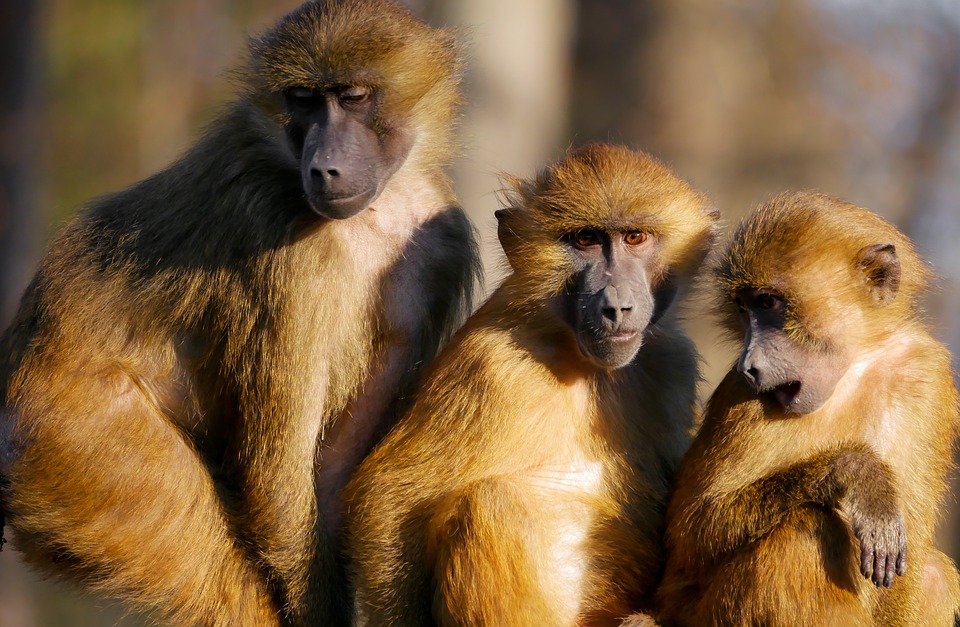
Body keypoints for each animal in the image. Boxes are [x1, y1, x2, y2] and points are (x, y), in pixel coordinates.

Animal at [0, 1, 480, 625]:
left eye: (352, 97)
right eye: (304, 99)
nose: (323, 168)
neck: (381, 206)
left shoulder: (440, 247)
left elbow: (330, 476)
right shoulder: (281, 237)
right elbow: (277, 482)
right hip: (80, 444)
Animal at [343, 143, 719, 626]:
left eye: (635, 238)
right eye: (585, 240)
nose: (616, 306)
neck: (582, 360)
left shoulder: (672, 361)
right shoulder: (492, 365)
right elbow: (389, 496)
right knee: (493, 501)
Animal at [655, 191, 960, 626]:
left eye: (768, 303)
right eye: (745, 309)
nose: (748, 365)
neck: (854, 365)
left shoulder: (927, 374)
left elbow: (913, 551)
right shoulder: (743, 398)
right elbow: (693, 528)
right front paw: (858, 473)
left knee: (934, 575)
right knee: (802, 528)